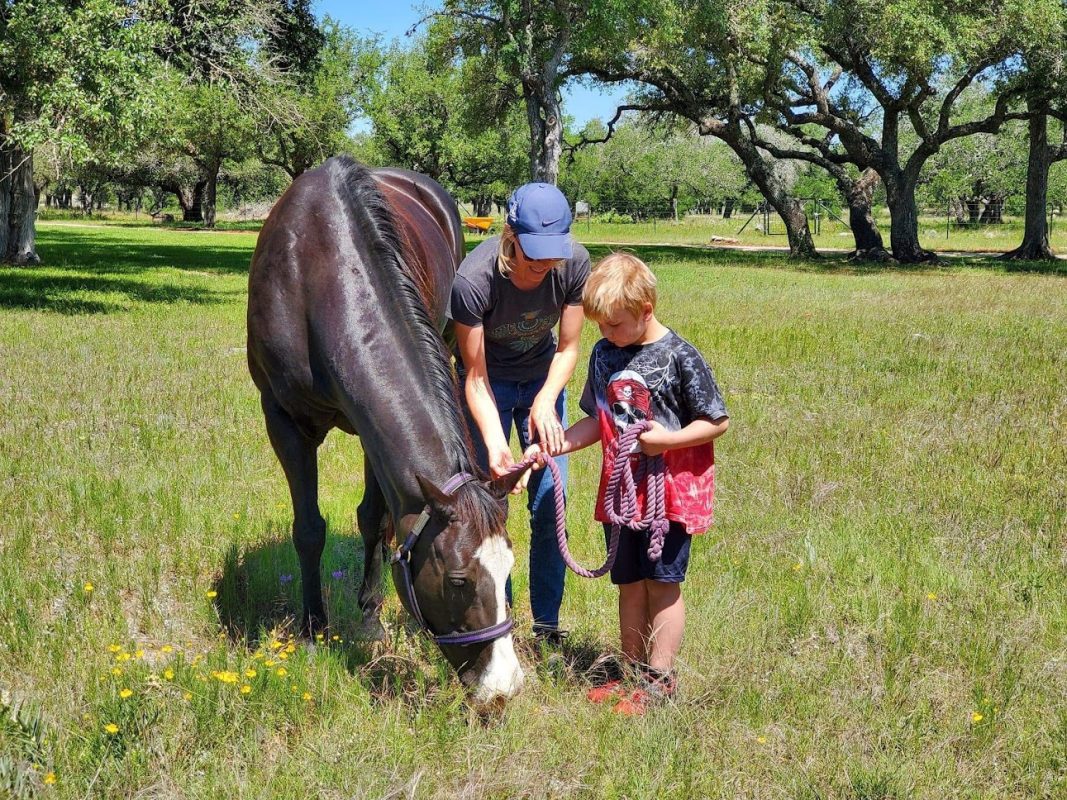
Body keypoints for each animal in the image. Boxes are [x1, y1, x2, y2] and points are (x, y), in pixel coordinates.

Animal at [243, 154, 524, 699]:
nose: (501, 686)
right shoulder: (283, 421)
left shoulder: (371, 433)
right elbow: (309, 529)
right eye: (458, 581)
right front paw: (313, 630)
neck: (316, 273)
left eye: (509, 570)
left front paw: (370, 617)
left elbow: (374, 519)